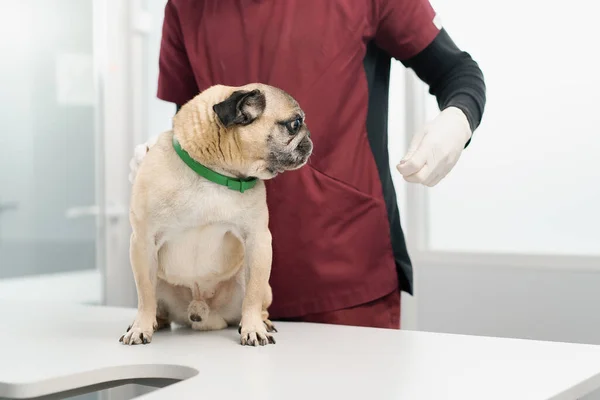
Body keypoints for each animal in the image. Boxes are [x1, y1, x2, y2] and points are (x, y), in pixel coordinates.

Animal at [119, 83, 312, 346]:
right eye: (295, 123)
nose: (309, 137)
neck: (215, 174)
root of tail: (200, 312)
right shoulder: (143, 242)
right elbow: (145, 296)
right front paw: (141, 327)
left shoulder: (258, 242)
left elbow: (252, 295)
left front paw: (253, 328)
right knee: (155, 303)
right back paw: (155, 321)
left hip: (256, 282)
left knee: (257, 299)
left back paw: (262, 322)